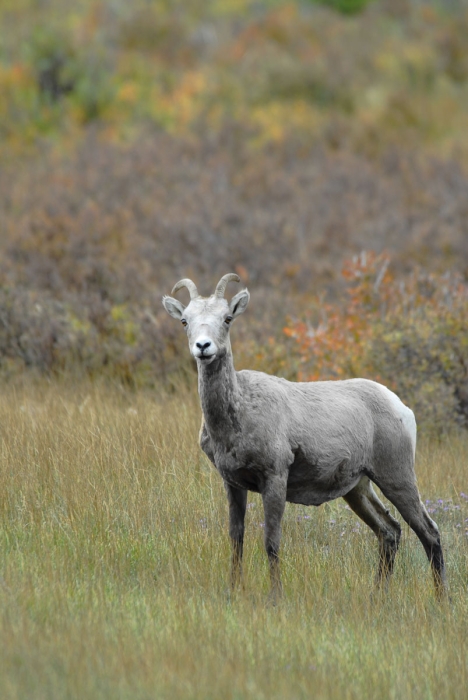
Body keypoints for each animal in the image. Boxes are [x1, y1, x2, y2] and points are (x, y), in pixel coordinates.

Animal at [163, 276, 448, 600]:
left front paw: (275, 597)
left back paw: (441, 600)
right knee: (390, 531)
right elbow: (237, 540)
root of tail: (402, 408)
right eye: (185, 321)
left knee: (429, 532)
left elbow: (271, 542)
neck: (237, 414)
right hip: (358, 488)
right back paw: (377, 596)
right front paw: (232, 592)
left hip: (396, 477)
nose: (203, 346)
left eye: (227, 319)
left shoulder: (274, 479)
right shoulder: (233, 484)